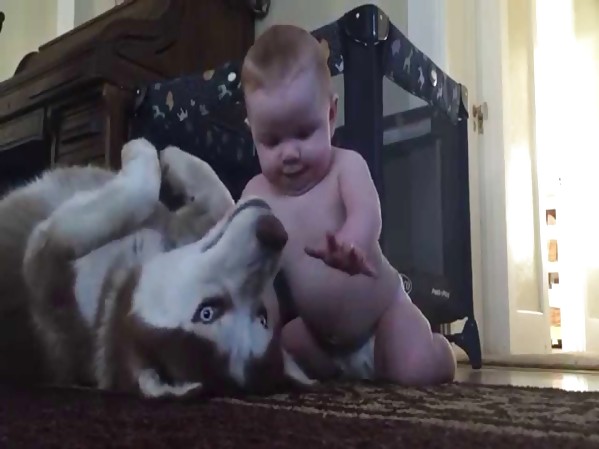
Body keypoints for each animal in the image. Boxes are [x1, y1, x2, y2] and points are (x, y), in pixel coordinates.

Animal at [0, 138, 313, 398]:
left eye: (205, 312)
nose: (274, 234)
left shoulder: (46, 254)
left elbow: (139, 196)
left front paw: (141, 150)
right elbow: (221, 198)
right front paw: (175, 157)